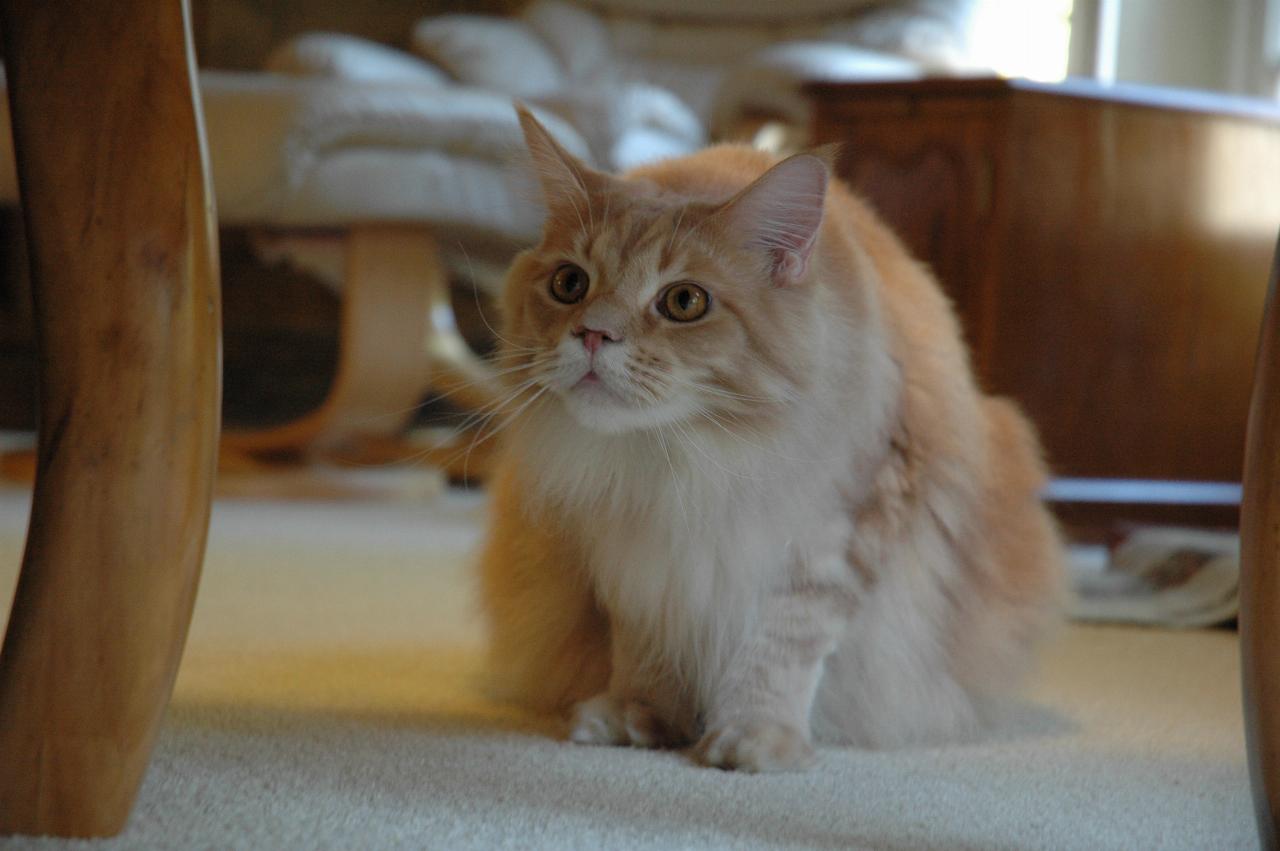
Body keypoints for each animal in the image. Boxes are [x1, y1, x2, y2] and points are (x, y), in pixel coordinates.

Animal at [476, 106, 1064, 767]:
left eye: (684, 301)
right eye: (570, 284)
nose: (593, 334)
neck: (674, 463)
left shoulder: (839, 535)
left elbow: (777, 653)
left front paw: (752, 738)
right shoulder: (633, 555)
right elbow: (646, 650)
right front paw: (639, 717)